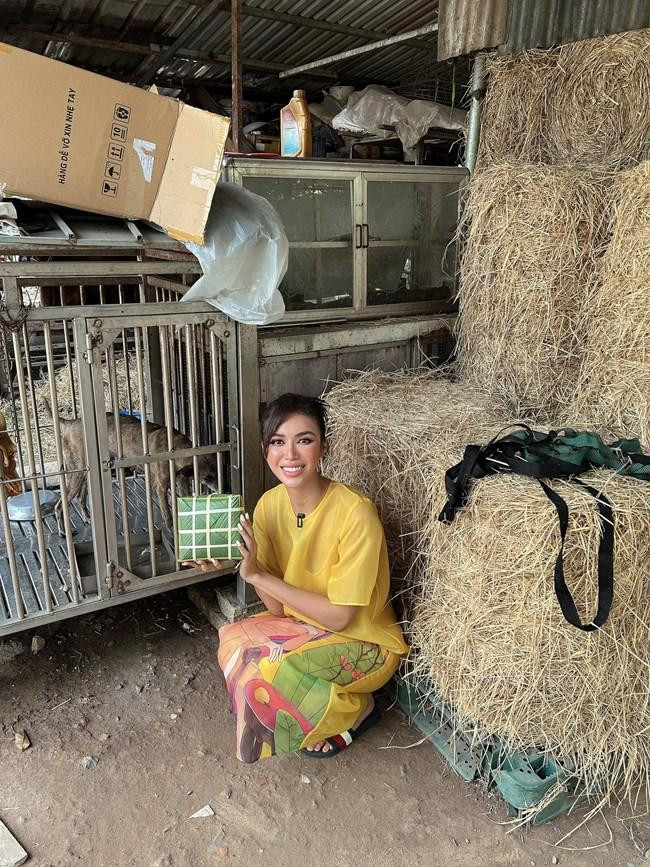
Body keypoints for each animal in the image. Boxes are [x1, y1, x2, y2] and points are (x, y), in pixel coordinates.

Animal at [42, 399, 219, 535]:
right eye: (208, 477)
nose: (223, 489)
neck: (177, 448)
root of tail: (69, 423)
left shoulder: (182, 482)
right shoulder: (161, 487)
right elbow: (167, 514)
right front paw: (171, 528)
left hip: (85, 474)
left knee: (80, 498)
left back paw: (87, 519)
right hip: (77, 473)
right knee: (60, 505)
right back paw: (64, 531)